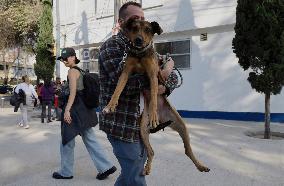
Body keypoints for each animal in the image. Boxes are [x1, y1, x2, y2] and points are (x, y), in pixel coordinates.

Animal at [103, 18, 210, 176]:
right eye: (134, 28)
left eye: (148, 29)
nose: (138, 40)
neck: (140, 54)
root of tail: (163, 119)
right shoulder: (125, 73)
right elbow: (117, 90)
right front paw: (110, 105)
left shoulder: (153, 75)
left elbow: (153, 98)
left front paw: (153, 114)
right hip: (142, 129)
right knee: (152, 152)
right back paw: (147, 168)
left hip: (181, 125)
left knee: (188, 150)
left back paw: (201, 166)